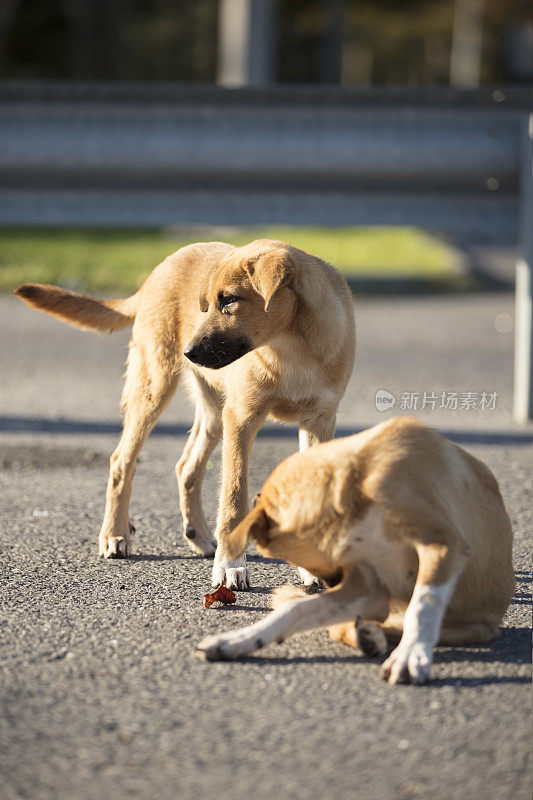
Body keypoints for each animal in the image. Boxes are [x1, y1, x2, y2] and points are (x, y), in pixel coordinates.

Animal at [14, 238, 356, 588]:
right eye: (206, 305)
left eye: (229, 300)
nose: (189, 352)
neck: (291, 347)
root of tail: (158, 269)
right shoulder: (241, 417)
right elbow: (234, 498)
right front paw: (231, 566)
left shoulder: (319, 422)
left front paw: (312, 568)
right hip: (155, 388)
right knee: (122, 460)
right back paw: (115, 535)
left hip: (214, 411)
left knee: (187, 466)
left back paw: (200, 536)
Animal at [197, 416, 512, 684]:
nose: (328, 584)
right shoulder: (367, 588)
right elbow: (294, 611)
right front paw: (238, 640)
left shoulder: (443, 545)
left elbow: (423, 605)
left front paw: (410, 656)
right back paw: (366, 635)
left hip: (464, 623)